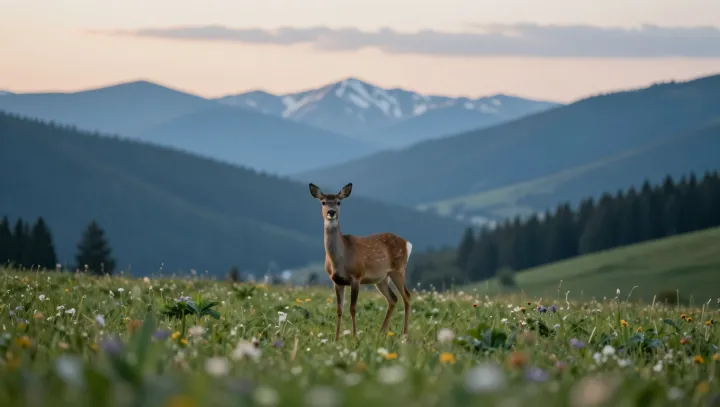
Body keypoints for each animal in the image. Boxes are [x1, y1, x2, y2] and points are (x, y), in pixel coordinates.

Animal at [308, 182, 413, 341]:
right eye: (323, 202)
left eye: (339, 202)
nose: (331, 212)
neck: (340, 260)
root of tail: (407, 243)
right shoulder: (336, 281)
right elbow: (339, 309)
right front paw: (336, 339)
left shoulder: (356, 276)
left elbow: (352, 308)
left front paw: (354, 336)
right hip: (381, 278)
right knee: (393, 298)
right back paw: (381, 332)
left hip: (398, 269)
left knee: (406, 296)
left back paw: (404, 334)